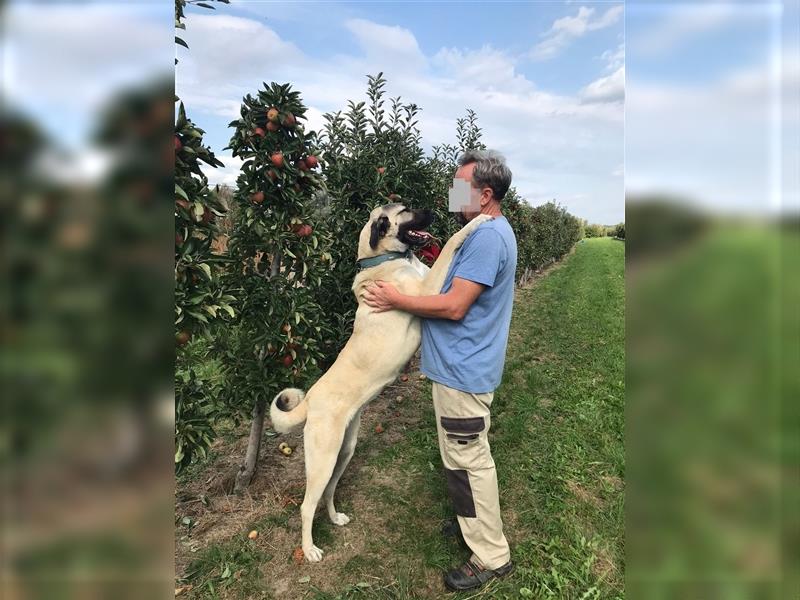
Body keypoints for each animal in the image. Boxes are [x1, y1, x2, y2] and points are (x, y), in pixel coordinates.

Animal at [272, 204, 490, 560]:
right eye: (406, 210)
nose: (433, 210)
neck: (386, 259)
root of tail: (310, 401)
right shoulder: (428, 290)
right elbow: (450, 246)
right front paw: (477, 222)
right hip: (322, 457)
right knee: (306, 505)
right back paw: (310, 549)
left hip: (344, 450)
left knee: (329, 491)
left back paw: (335, 517)